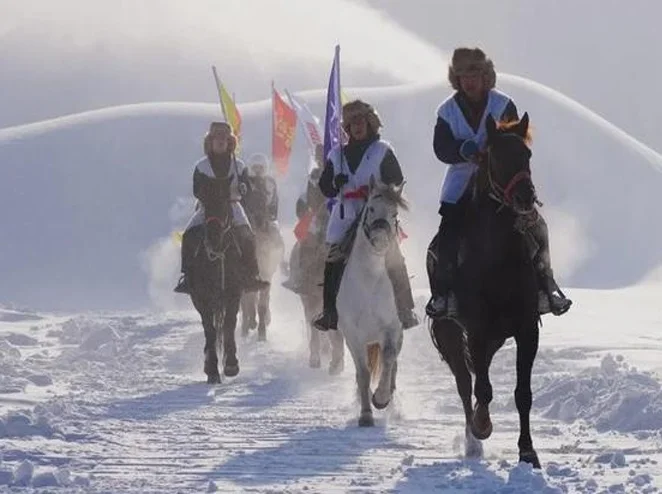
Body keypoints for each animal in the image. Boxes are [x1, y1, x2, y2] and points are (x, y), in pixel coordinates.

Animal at [338, 178, 410, 428]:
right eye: (370, 209)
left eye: (394, 213)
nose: (380, 238)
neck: (369, 277)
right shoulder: (353, 335)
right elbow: (363, 373)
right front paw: (366, 414)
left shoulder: (391, 328)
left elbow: (388, 359)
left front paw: (380, 399)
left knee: (394, 364)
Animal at [430, 114, 544, 468]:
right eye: (497, 157)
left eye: (528, 155)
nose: (525, 196)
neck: (498, 257)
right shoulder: (476, 328)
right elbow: (481, 388)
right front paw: (481, 426)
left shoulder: (526, 329)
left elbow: (523, 394)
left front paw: (528, 451)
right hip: (451, 332)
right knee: (465, 382)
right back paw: (472, 440)